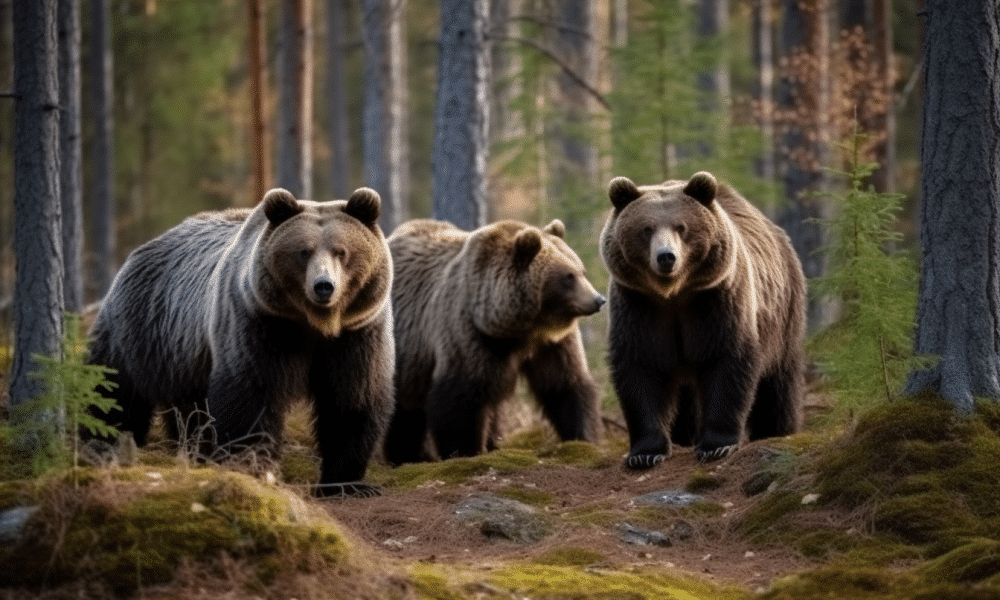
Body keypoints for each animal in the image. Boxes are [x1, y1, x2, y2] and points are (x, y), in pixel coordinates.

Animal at [86, 187, 394, 497]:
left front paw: (347, 483)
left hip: (184, 355)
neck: (314, 323)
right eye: (303, 252)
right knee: (115, 389)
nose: (323, 286)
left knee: (189, 408)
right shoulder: (259, 322)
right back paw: (103, 440)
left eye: (341, 251)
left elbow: (352, 398)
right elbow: (251, 391)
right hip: (141, 327)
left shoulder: (356, 334)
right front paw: (253, 465)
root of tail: (141, 249)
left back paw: (195, 451)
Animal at [383, 218, 606, 464]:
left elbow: (565, 383)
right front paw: (467, 451)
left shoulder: (552, 343)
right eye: (568, 277)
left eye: (582, 271)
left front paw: (584, 438)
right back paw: (409, 455)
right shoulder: (470, 332)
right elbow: (462, 395)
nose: (599, 299)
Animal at [599, 171, 805, 466]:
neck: (673, 294)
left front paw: (716, 445)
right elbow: (640, 367)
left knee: (778, 381)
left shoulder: (715, 299)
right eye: (647, 229)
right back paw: (684, 437)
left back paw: (776, 430)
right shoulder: (638, 305)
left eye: (681, 227)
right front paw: (645, 452)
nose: (666, 257)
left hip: (782, 311)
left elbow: (726, 359)